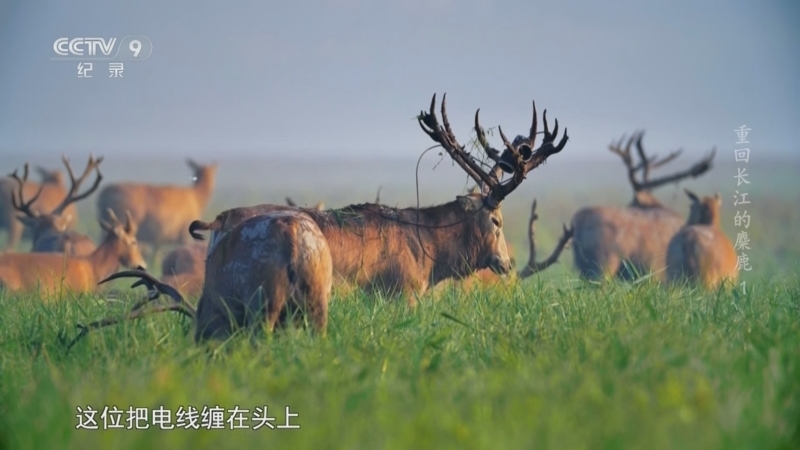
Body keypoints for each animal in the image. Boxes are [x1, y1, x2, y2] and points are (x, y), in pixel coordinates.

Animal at [64, 209, 333, 347]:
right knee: (320, 335)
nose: (201, 350)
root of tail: (292, 232)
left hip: (263, 301)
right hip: (318, 296)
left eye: (200, 331)